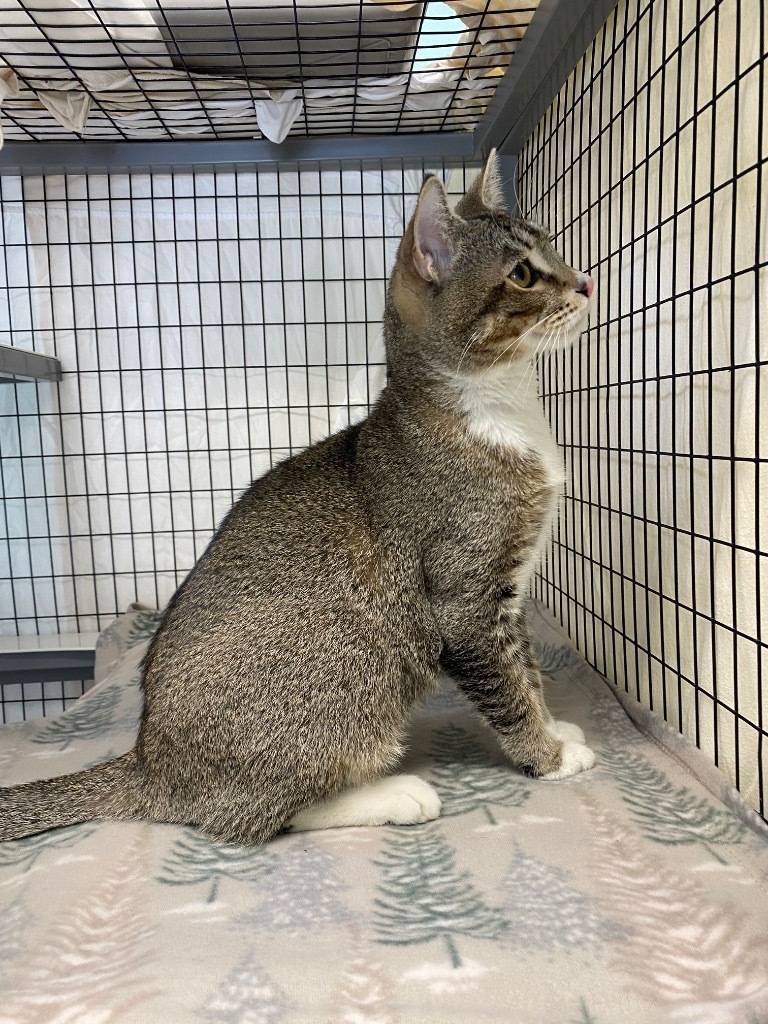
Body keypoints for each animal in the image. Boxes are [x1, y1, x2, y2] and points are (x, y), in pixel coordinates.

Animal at [0, 148, 598, 843]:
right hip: (351, 658)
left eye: (553, 250)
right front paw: (548, 753)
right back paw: (396, 794)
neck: (499, 410)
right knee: (254, 817)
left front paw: (555, 726)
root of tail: (151, 764)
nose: (585, 283)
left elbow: (526, 669)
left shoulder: (509, 595)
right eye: (524, 274)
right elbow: (507, 686)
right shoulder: (468, 600)